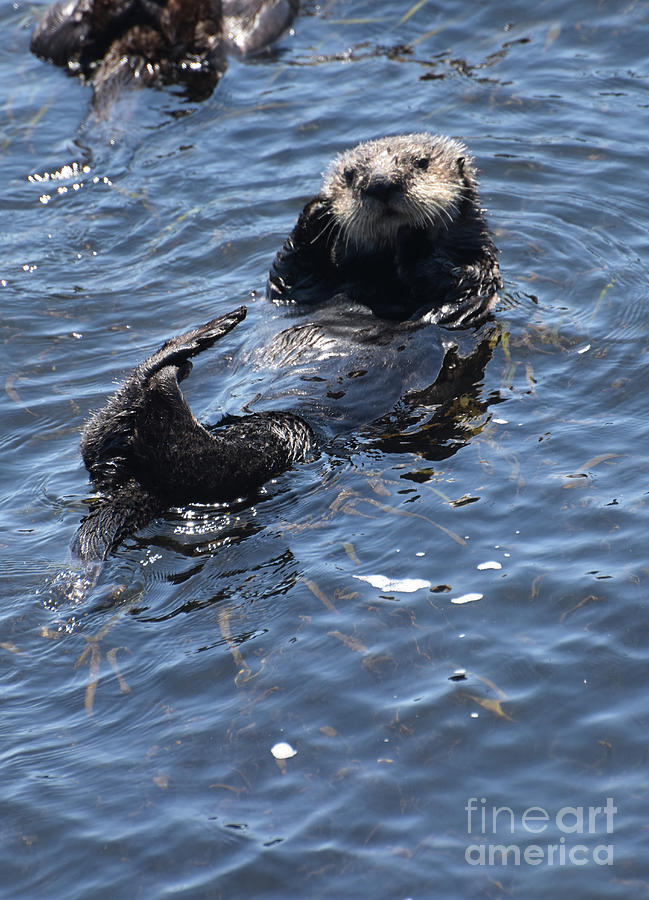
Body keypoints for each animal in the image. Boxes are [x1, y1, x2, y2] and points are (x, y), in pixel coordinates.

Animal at [268, 132, 502, 328]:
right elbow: (285, 280)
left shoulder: (479, 265)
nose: (380, 184)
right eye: (349, 174)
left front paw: (413, 234)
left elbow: (466, 278)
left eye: (422, 162)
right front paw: (321, 206)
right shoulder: (304, 286)